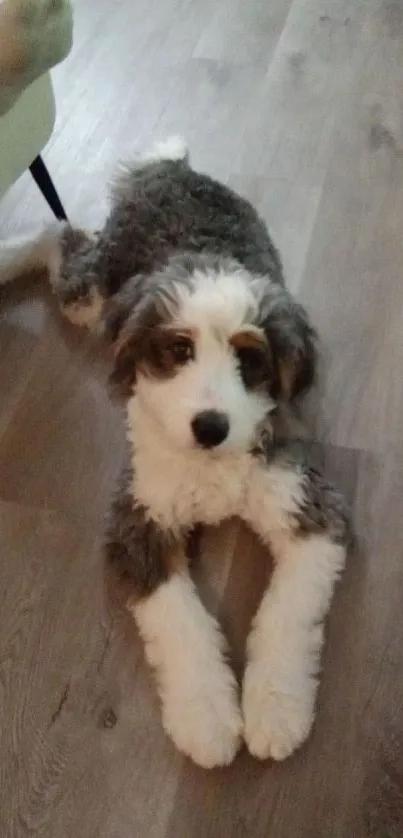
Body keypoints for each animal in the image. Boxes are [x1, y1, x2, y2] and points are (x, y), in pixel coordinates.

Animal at [0, 138, 352, 768]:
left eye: (249, 359)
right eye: (178, 350)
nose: (210, 427)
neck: (209, 466)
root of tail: (169, 169)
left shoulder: (310, 508)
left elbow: (286, 614)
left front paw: (275, 709)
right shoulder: (137, 521)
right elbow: (180, 621)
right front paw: (207, 718)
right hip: (96, 293)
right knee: (59, 237)